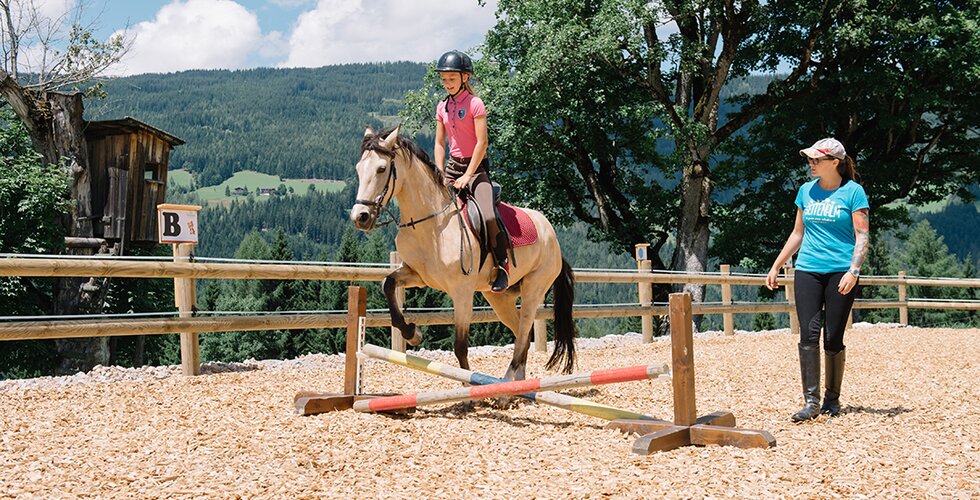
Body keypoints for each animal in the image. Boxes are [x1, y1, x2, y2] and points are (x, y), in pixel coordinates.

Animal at [348, 127, 576, 380]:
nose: (360, 217)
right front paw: (412, 333)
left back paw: (505, 386)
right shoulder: (416, 275)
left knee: (523, 334)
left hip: (533, 289)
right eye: (359, 169)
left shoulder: (462, 291)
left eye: (381, 168)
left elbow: (460, 346)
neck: (433, 225)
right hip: (499, 298)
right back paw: (514, 384)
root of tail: (552, 236)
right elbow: (387, 284)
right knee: (522, 337)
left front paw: (467, 387)